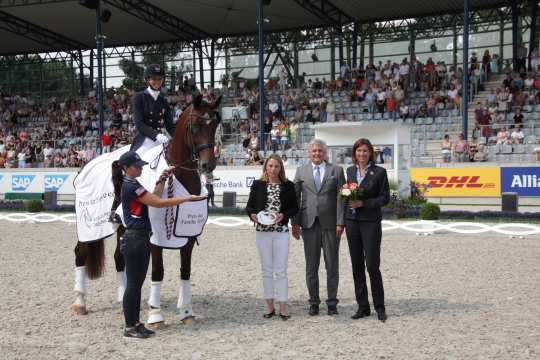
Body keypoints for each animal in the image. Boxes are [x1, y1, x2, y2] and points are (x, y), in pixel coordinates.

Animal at [72, 94, 221, 324]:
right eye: (194, 126)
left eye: (214, 125)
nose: (207, 165)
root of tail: (85, 165)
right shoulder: (155, 237)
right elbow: (158, 271)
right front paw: (156, 314)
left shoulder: (188, 235)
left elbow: (185, 271)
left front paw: (187, 312)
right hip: (89, 228)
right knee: (80, 252)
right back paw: (80, 302)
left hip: (122, 226)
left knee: (119, 258)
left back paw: (122, 298)